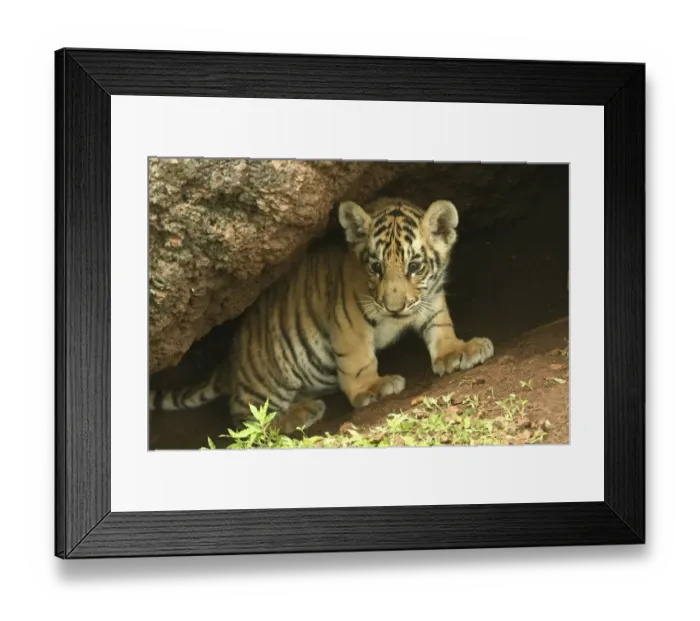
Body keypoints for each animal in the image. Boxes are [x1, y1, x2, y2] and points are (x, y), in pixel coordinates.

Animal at [148, 197, 495, 435]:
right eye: (376, 267)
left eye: (414, 266)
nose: (394, 308)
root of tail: (229, 364)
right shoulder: (350, 319)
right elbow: (358, 360)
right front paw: (372, 387)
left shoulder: (432, 299)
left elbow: (441, 326)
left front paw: (459, 351)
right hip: (265, 381)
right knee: (248, 418)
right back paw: (300, 414)